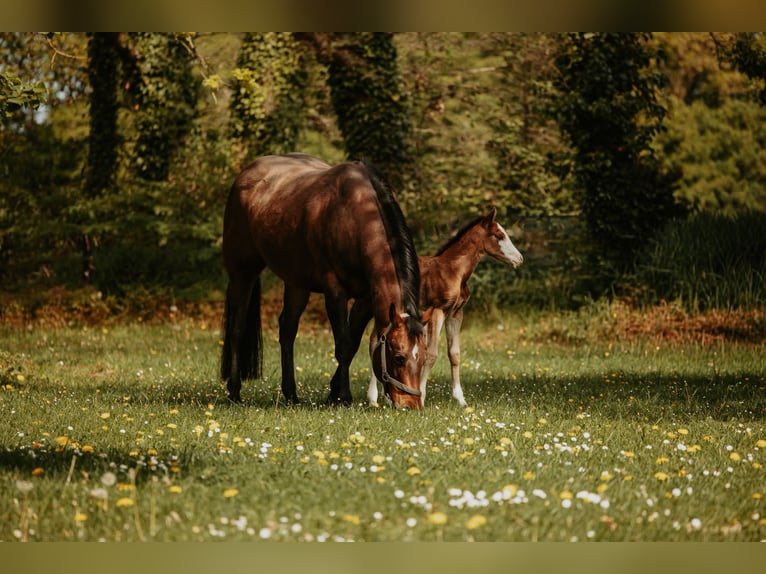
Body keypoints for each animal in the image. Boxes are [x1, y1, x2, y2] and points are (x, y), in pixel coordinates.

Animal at [221, 153, 430, 410]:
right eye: (399, 357)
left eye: (424, 357)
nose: (411, 404)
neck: (354, 216)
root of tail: (246, 174)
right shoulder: (335, 292)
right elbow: (343, 344)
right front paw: (343, 397)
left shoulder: (366, 299)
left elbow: (352, 344)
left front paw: (333, 393)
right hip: (243, 273)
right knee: (237, 329)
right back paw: (234, 392)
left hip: (296, 283)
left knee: (287, 330)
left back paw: (291, 395)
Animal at [368, 207, 523, 408]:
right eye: (499, 236)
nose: (519, 259)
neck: (454, 271)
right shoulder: (437, 310)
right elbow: (431, 354)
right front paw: (422, 397)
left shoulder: (455, 313)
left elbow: (454, 354)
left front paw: (461, 400)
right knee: (374, 341)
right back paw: (372, 398)